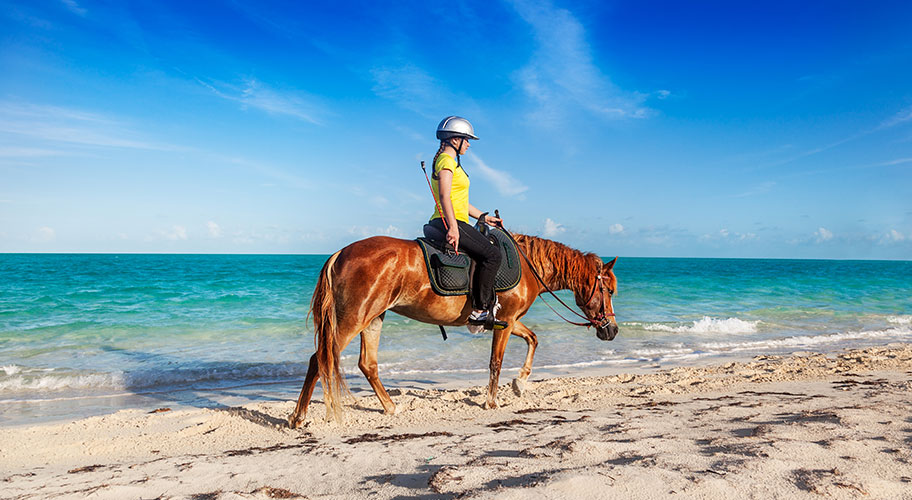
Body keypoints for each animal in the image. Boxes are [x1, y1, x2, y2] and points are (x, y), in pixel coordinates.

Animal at [290, 232, 620, 428]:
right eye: (610, 291)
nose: (612, 330)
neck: (528, 267)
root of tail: (340, 253)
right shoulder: (506, 321)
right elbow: (496, 362)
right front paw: (492, 400)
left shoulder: (508, 321)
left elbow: (533, 339)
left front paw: (520, 383)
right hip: (353, 318)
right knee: (319, 359)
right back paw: (298, 416)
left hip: (373, 318)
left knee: (367, 364)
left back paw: (390, 407)